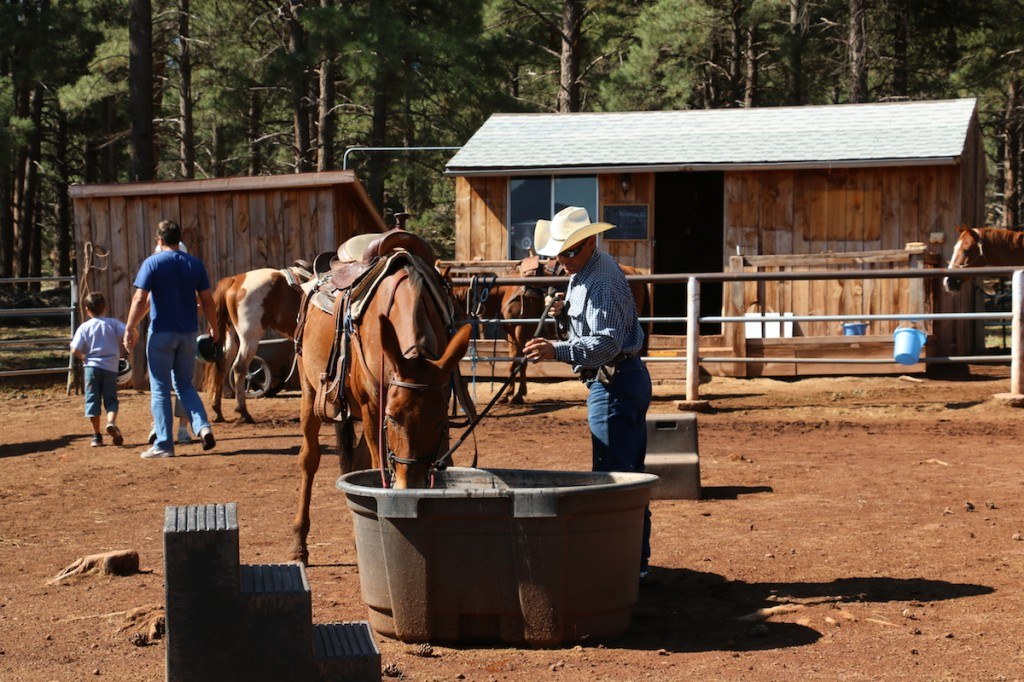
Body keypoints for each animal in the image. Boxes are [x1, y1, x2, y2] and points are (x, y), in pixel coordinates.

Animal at [209, 260, 313, 419]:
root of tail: (236, 280)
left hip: (231, 334)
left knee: (224, 364)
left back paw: (217, 410)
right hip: (249, 337)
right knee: (239, 367)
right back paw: (243, 411)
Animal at [290, 233, 468, 561]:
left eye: (439, 422)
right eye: (393, 417)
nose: (409, 485)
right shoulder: (374, 407)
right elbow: (376, 466)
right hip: (310, 392)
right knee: (309, 459)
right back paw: (299, 544)